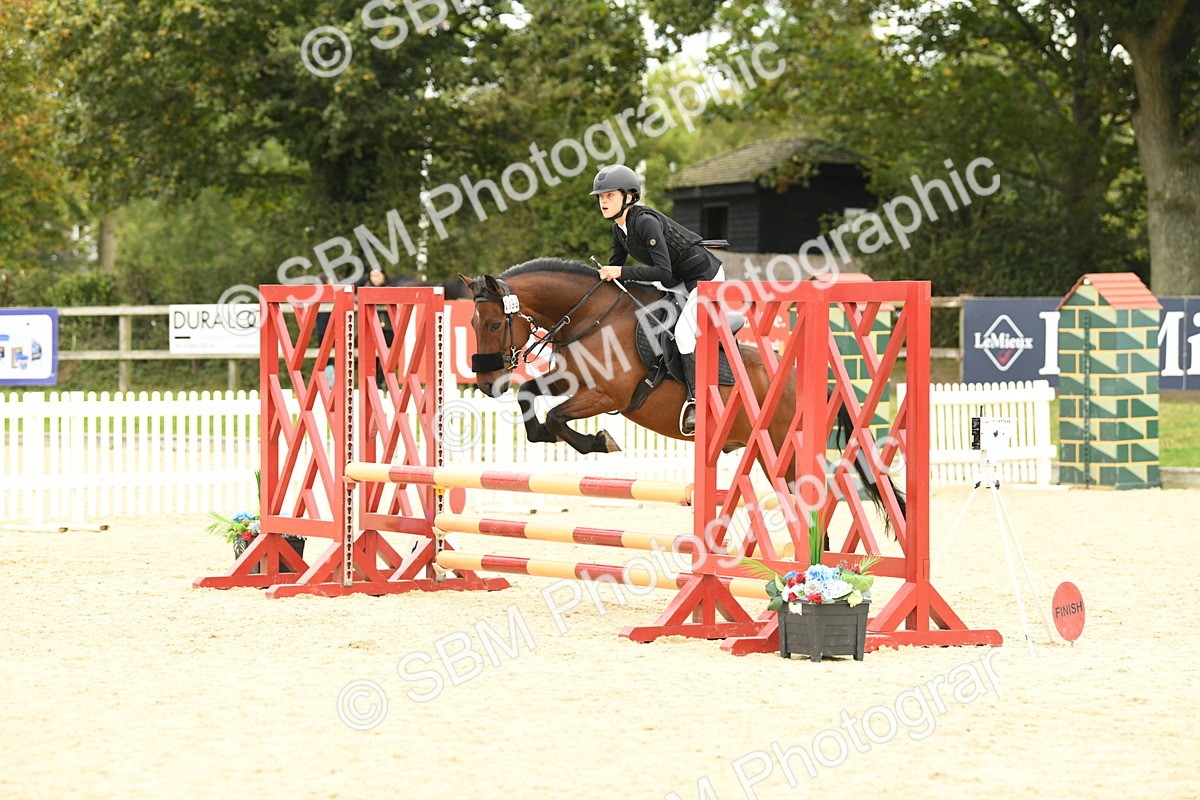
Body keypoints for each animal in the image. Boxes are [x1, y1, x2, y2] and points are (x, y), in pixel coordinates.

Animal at [459, 257, 904, 526]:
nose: (488, 385)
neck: (591, 317)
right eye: (473, 324)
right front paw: (544, 436)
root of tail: (814, 381)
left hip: (786, 454)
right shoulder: (572, 381)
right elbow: (529, 396)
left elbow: (555, 415)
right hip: (765, 453)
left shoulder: (607, 395)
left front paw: (601, 441)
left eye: (495, 324)